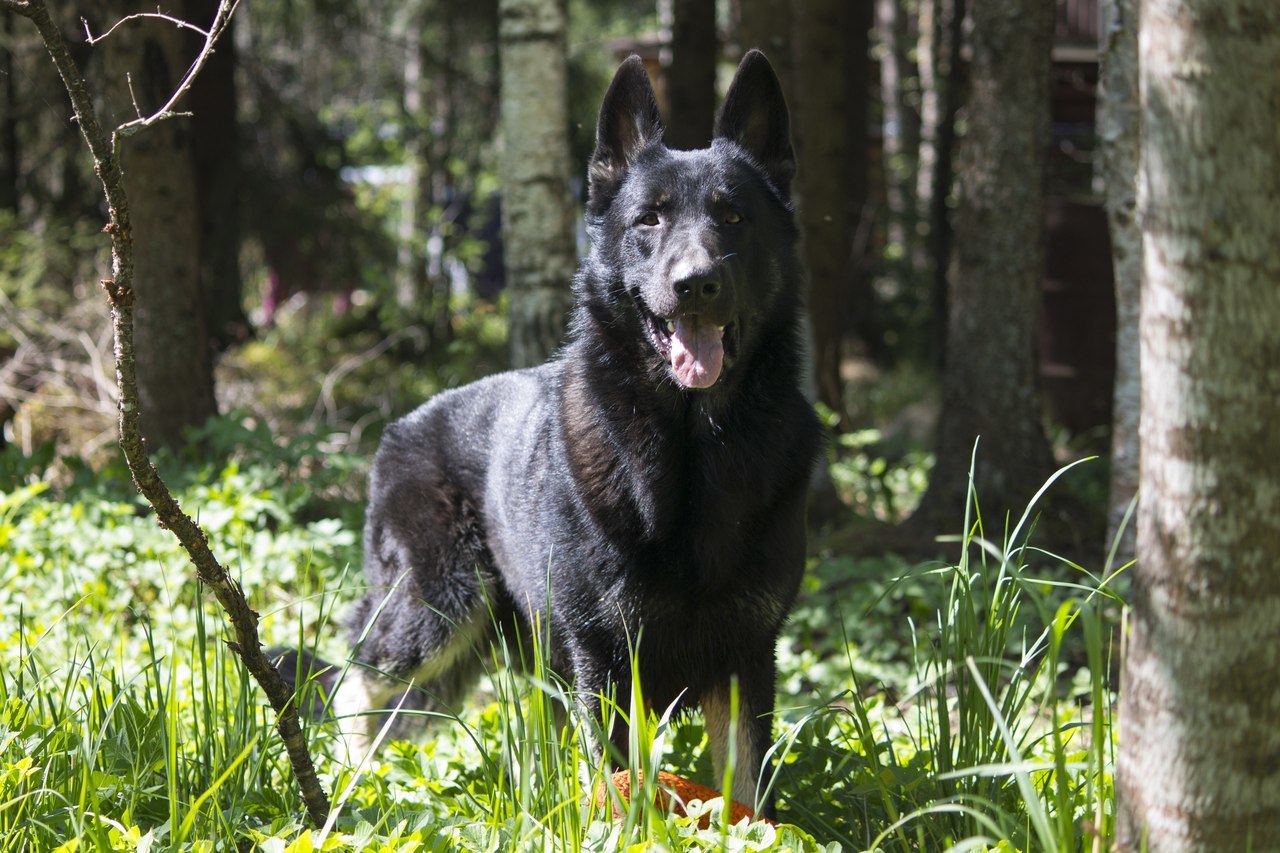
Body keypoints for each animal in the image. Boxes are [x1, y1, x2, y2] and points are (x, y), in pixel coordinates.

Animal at [300, 51, 819, 809]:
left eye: (733, 216)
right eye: (649, 220)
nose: (695, 285)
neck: (690, 448)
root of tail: (403, 424)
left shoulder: (745, 655)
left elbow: (746, 791)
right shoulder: (603, 654)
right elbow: (619, 783)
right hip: (438, 610)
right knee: (359, 679)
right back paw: (349, 789)